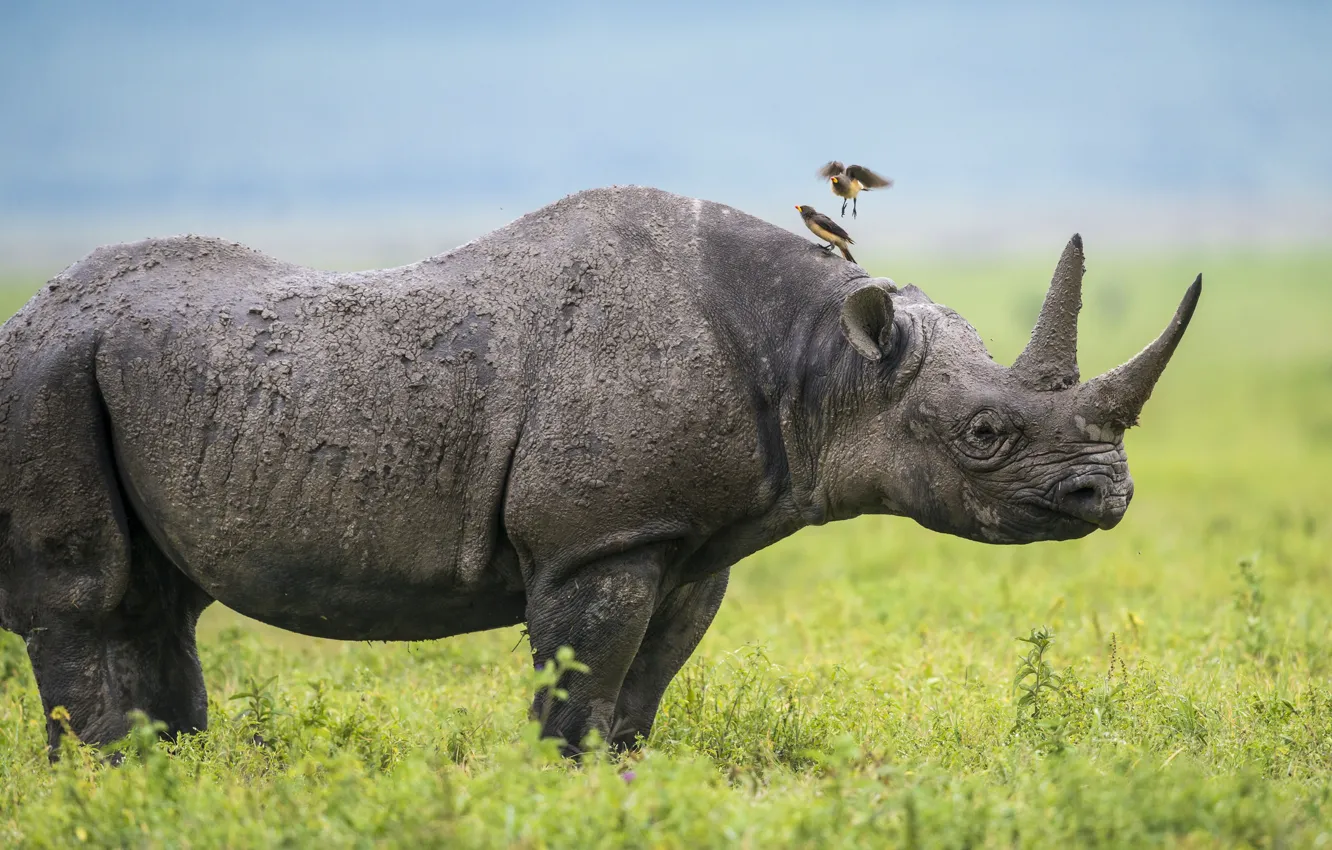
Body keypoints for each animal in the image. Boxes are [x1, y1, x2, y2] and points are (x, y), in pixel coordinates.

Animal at [0, 186, 1199, 755]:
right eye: (986, 434)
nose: (1106, 496)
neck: (824, 362)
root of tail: (31, 312)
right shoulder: (600, 537)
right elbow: (578, 687)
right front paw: (561, 795)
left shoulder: (686, 539)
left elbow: (639, 692)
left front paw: (625, 790)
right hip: (45, 374)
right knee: (85, 598)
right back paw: (105, 782)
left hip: (114, 372)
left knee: (159, 602)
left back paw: (170, 779)